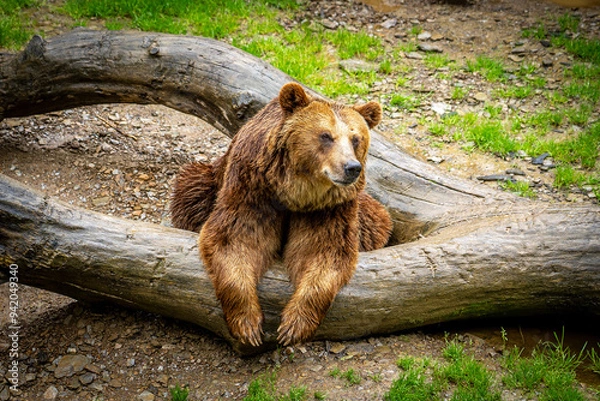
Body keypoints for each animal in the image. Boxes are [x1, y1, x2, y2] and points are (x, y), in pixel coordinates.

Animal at [171, 83, 392, 346]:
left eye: (356, 138)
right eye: (326, 136)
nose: (351, 168)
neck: (296, 192)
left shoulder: (330, 209)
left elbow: (325, 252)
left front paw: (294, 325)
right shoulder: (253, 190)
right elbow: (234, 240)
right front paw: (249, 325)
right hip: (209, 182)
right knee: (191, 192)